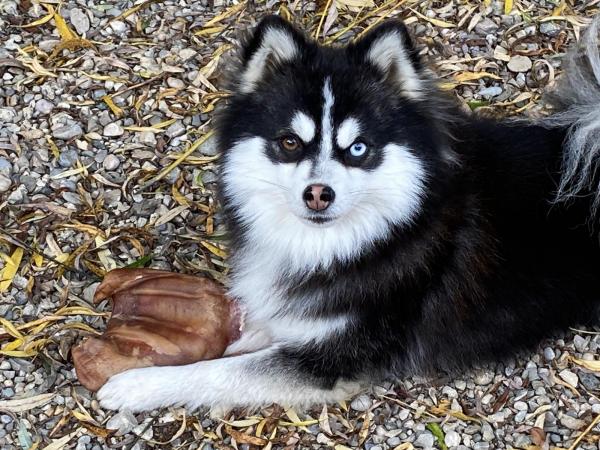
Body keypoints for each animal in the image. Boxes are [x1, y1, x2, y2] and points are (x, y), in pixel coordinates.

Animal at [97, 15, 600, 414]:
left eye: (357, 148)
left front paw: (136, 386)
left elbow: (222, 372)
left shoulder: (336, 358)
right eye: (289, 143)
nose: (318, 194)